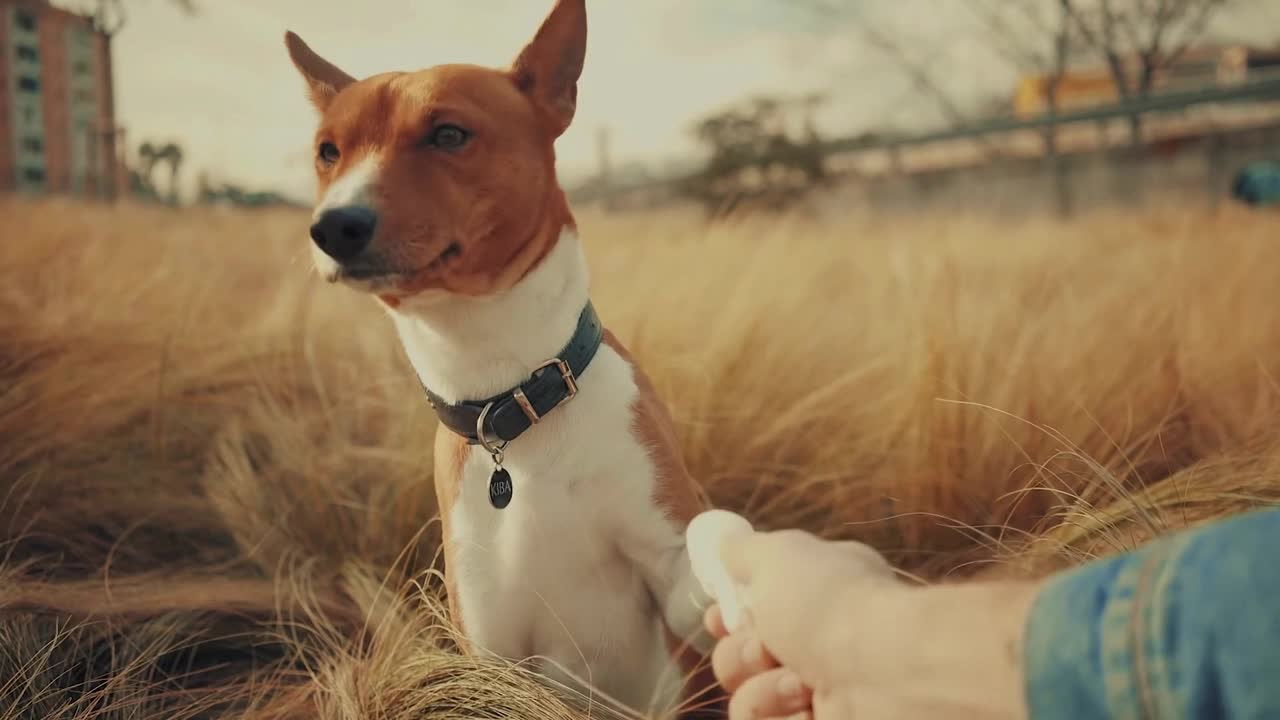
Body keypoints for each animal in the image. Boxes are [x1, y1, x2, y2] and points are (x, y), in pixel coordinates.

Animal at [282, 0, 721, 712]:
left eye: (449, 134)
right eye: (328, 151)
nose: (334, 227)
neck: (509, 400)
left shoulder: (672, 569)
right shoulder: (491, 650)